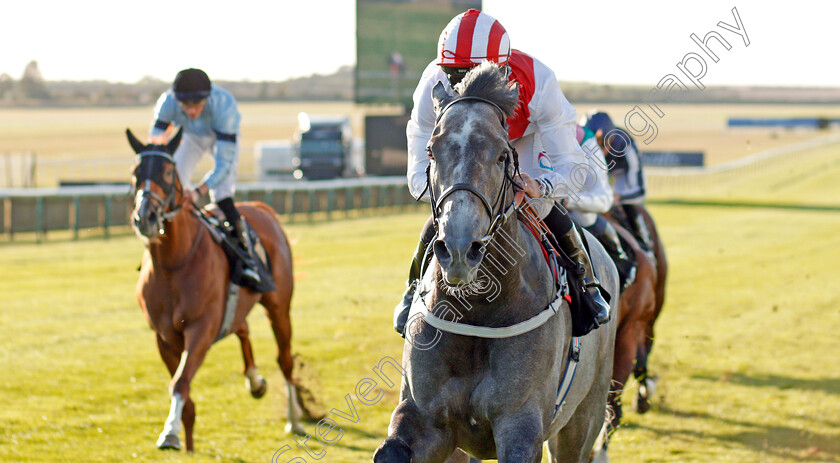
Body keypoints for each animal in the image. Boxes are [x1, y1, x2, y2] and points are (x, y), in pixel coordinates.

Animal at [126, 130, 306, 454]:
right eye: (136, 171)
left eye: (168, 172)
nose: (145, 217)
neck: (174, 262)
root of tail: (262, 208)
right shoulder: (163, 336)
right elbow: (182, 388)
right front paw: (185, 439)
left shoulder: (201, 328)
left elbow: (180, 381)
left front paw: (169, 433)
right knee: (243, 328)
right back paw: (255, 381)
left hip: (279, 307)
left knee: (284, 359)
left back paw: (294, 419)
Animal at [374, 62, 616, 463]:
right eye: (431, 151)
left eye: (503, 155)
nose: (459, 248)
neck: (477, 310)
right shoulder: (424, 419)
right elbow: (392, 450)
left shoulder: (521, 424)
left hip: (583, 418)